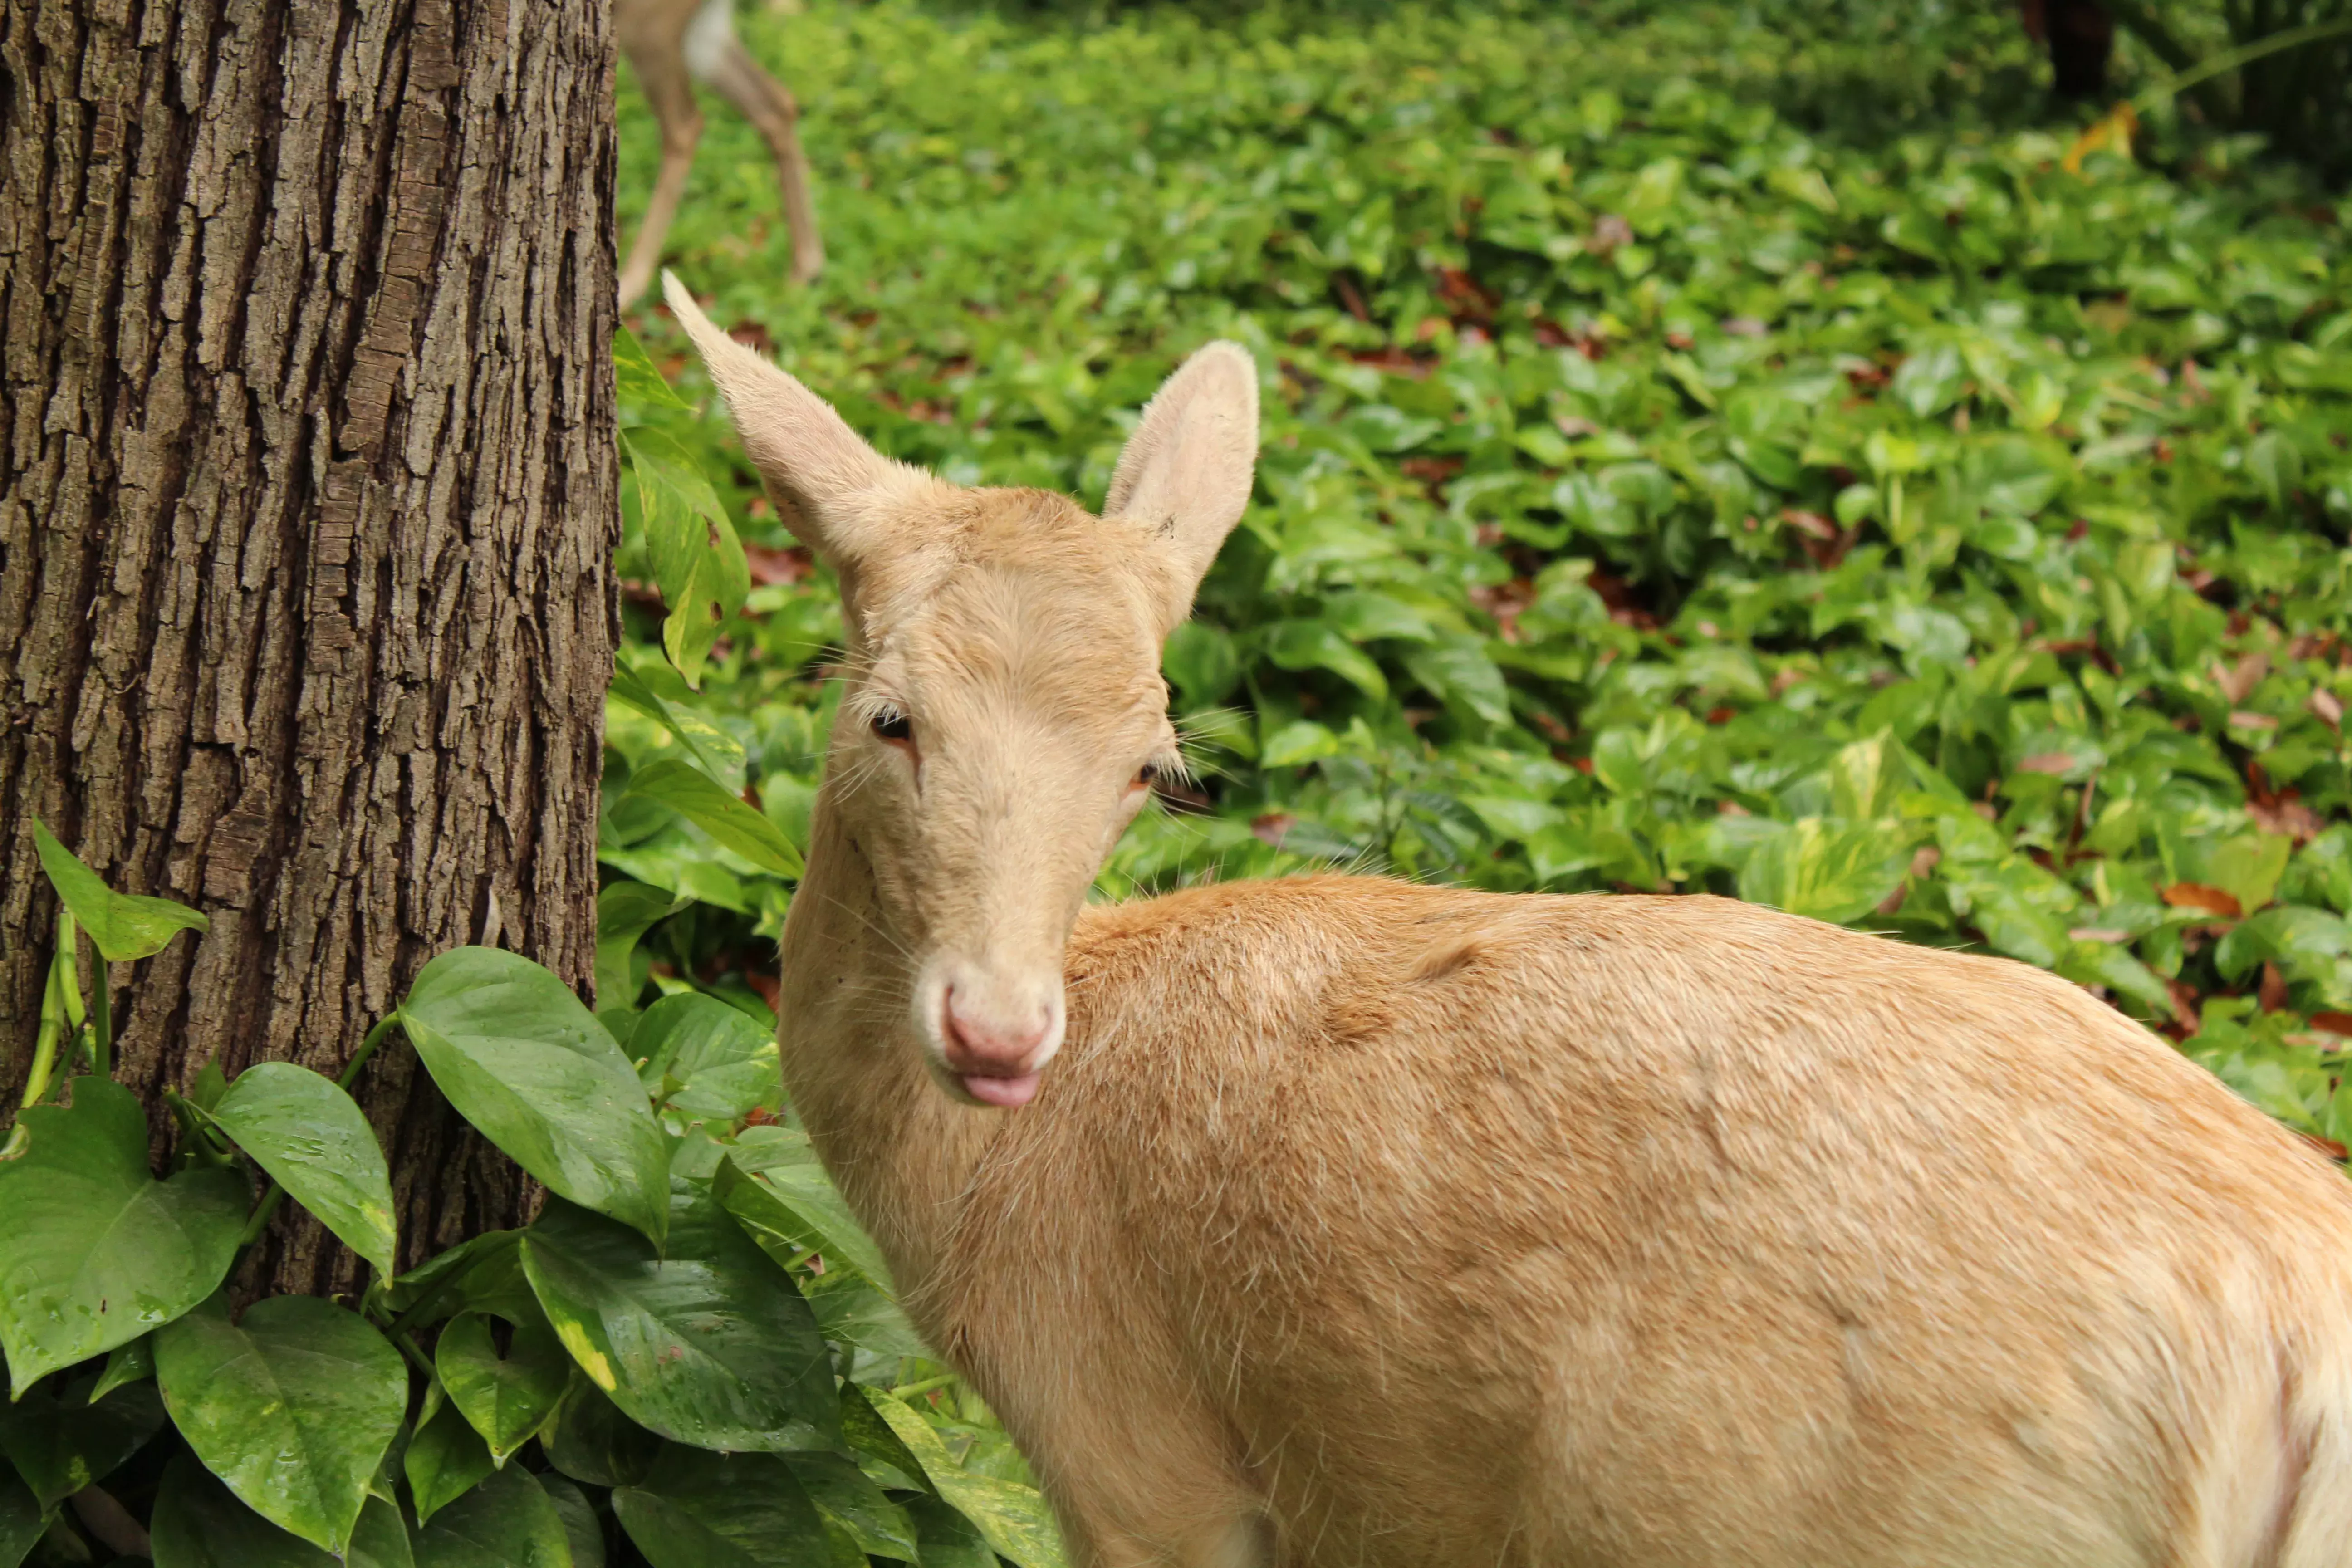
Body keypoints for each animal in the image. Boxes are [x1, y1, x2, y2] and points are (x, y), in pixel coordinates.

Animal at [616, 0, 828, 310]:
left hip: (647, 25)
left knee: (685, 126)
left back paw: (630, 285)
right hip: (703, 28)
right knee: (776, 104)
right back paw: (805, 271)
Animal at [658, 270, 2352, 1568]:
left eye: (1152, 765)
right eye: (888, 716)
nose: (1001, 1031)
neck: (973, 1209)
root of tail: (2288, 1368)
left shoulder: (1132, 1453)